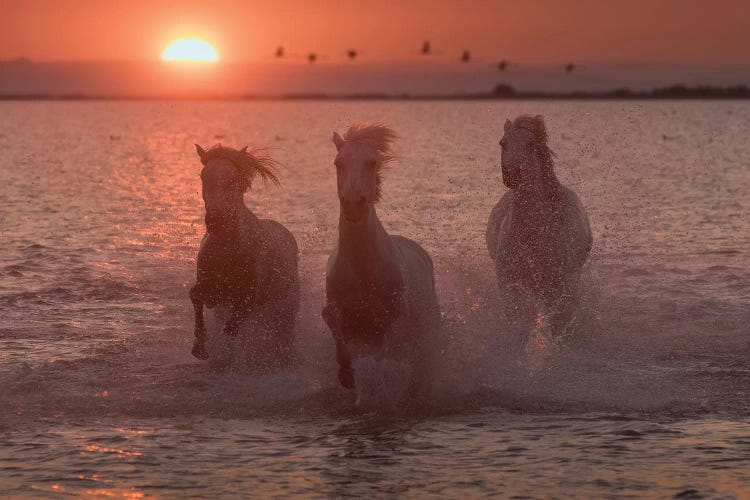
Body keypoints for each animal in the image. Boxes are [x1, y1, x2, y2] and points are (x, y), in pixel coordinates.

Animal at [189, 143, 302, 370]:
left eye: (233, 179)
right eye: (204, 176)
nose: (215, 220)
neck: (228, 248)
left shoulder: (249, 295)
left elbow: (235, 324)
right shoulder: (213, 289)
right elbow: (195, 295)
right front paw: (200, 347)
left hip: (286, 307)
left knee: (284, 336)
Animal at [322, 123, 440, 388]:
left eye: (372, 162)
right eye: (338, 163)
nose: (353, 204)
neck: (362, 267)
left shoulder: (396, 318)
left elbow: (389, 353)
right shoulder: (339, 311)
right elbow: (336, 331)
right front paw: (347, 375)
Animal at [488, 115, 592, 334]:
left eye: (530, 144)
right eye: (502, 142)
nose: (511, 174)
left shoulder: (562, 285)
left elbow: (559, 320)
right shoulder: (509, 283)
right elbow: (518, 318)